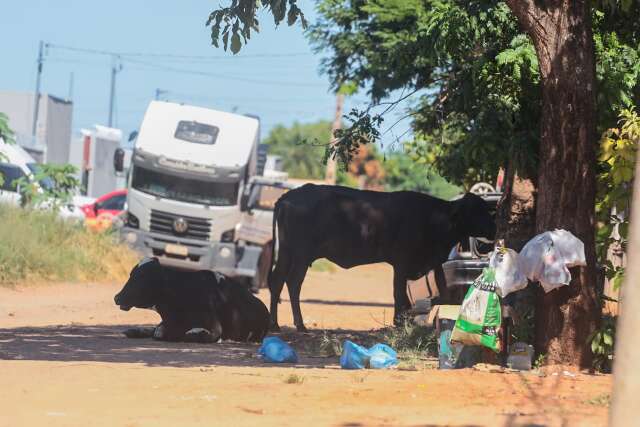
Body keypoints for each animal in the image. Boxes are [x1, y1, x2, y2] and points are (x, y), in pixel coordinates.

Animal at [264, 186, 496, 332]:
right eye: (476, 211)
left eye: (485, 209)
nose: (493, 228)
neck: (432, 219)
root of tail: (288, 196)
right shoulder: (401, 263)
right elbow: (398, 294)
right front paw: (398, 322)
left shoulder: (434, 263)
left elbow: (443, 292)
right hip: (301, 255)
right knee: (293, 283)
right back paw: (300, 325)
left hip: (287, 253)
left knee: (277, 282)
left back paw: (274, 324)